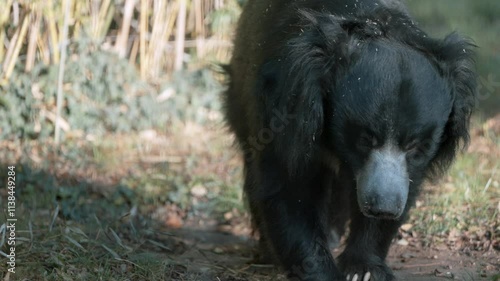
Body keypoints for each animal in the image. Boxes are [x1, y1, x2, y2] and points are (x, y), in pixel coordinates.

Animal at [223, 0, 476, 280]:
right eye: (365, 139)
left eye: (415, 146)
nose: (383, 208)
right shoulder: (287, 107)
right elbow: (287, 184)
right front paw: (320, 270)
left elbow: (405, 183)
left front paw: (363, 269)